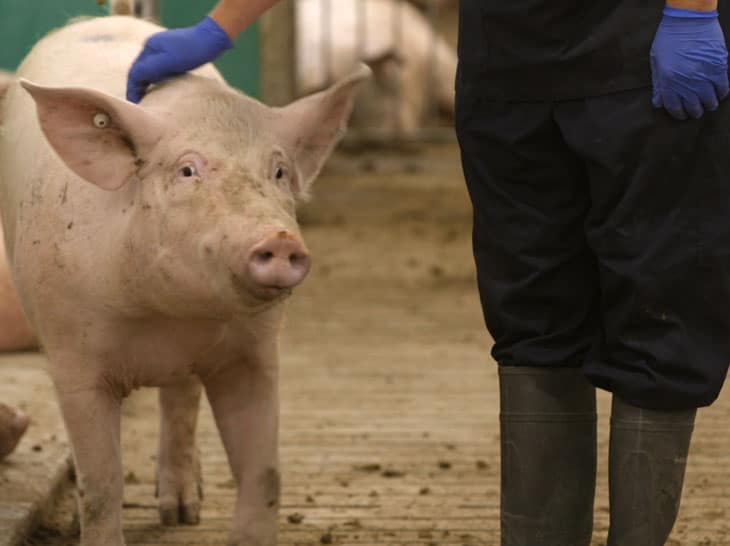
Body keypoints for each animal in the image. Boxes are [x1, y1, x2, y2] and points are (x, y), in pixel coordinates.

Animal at [0, 12, 364, 544]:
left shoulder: (253, 354)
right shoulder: (72, 357)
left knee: (181, 401)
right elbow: (101, 483)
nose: (279, 239)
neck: (168, 317)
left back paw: (181, 513)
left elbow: (264, 474)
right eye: (187, 170)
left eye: (278, 171)